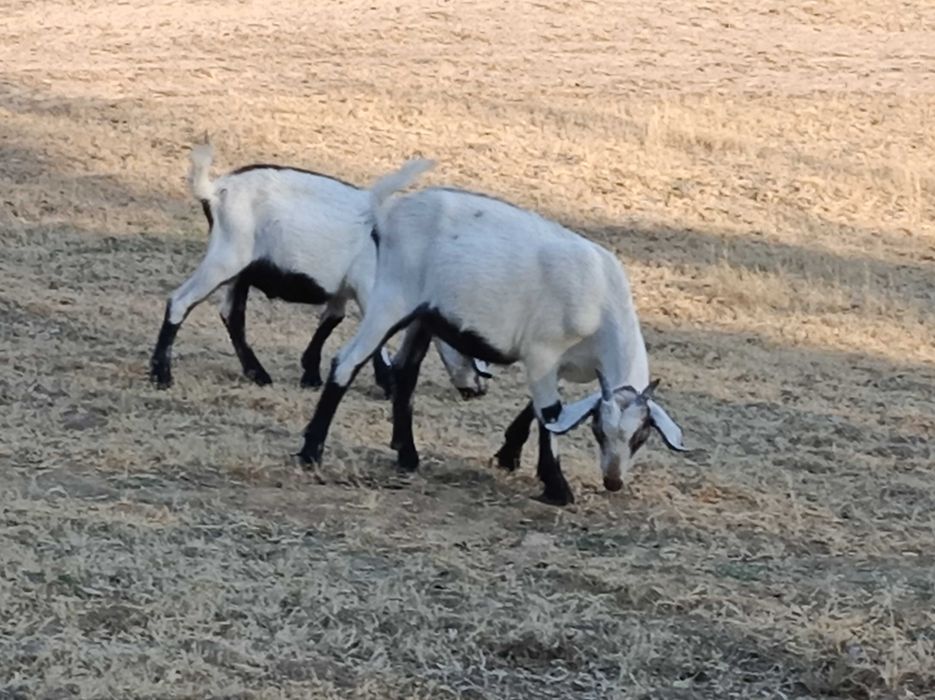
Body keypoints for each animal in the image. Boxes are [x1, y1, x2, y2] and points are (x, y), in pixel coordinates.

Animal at [149, 145, 490, 398]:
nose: (480, 389)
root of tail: (215, 189)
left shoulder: (343, 288)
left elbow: (331, 320)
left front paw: (311, 374)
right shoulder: (369, 289)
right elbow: (371, 338)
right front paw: (388, 384)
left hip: (240, 269)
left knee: (231, 314)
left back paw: (257, 373)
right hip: (226, 257)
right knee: (180, 301)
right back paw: (161, 375)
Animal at [297, 161, 689, 505]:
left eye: (641, 435)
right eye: (598, 430)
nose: (613, 481)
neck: (603, 301)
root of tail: (387, 213)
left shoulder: (556, 365)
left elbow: (543, 410)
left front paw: (509, 454)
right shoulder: (542, 352)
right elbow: (550, 413)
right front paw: (556, 488)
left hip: (424, 316)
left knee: (406, 372)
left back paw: (407, 455)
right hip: (391, 297)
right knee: (347, 361)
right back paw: (311, 452)